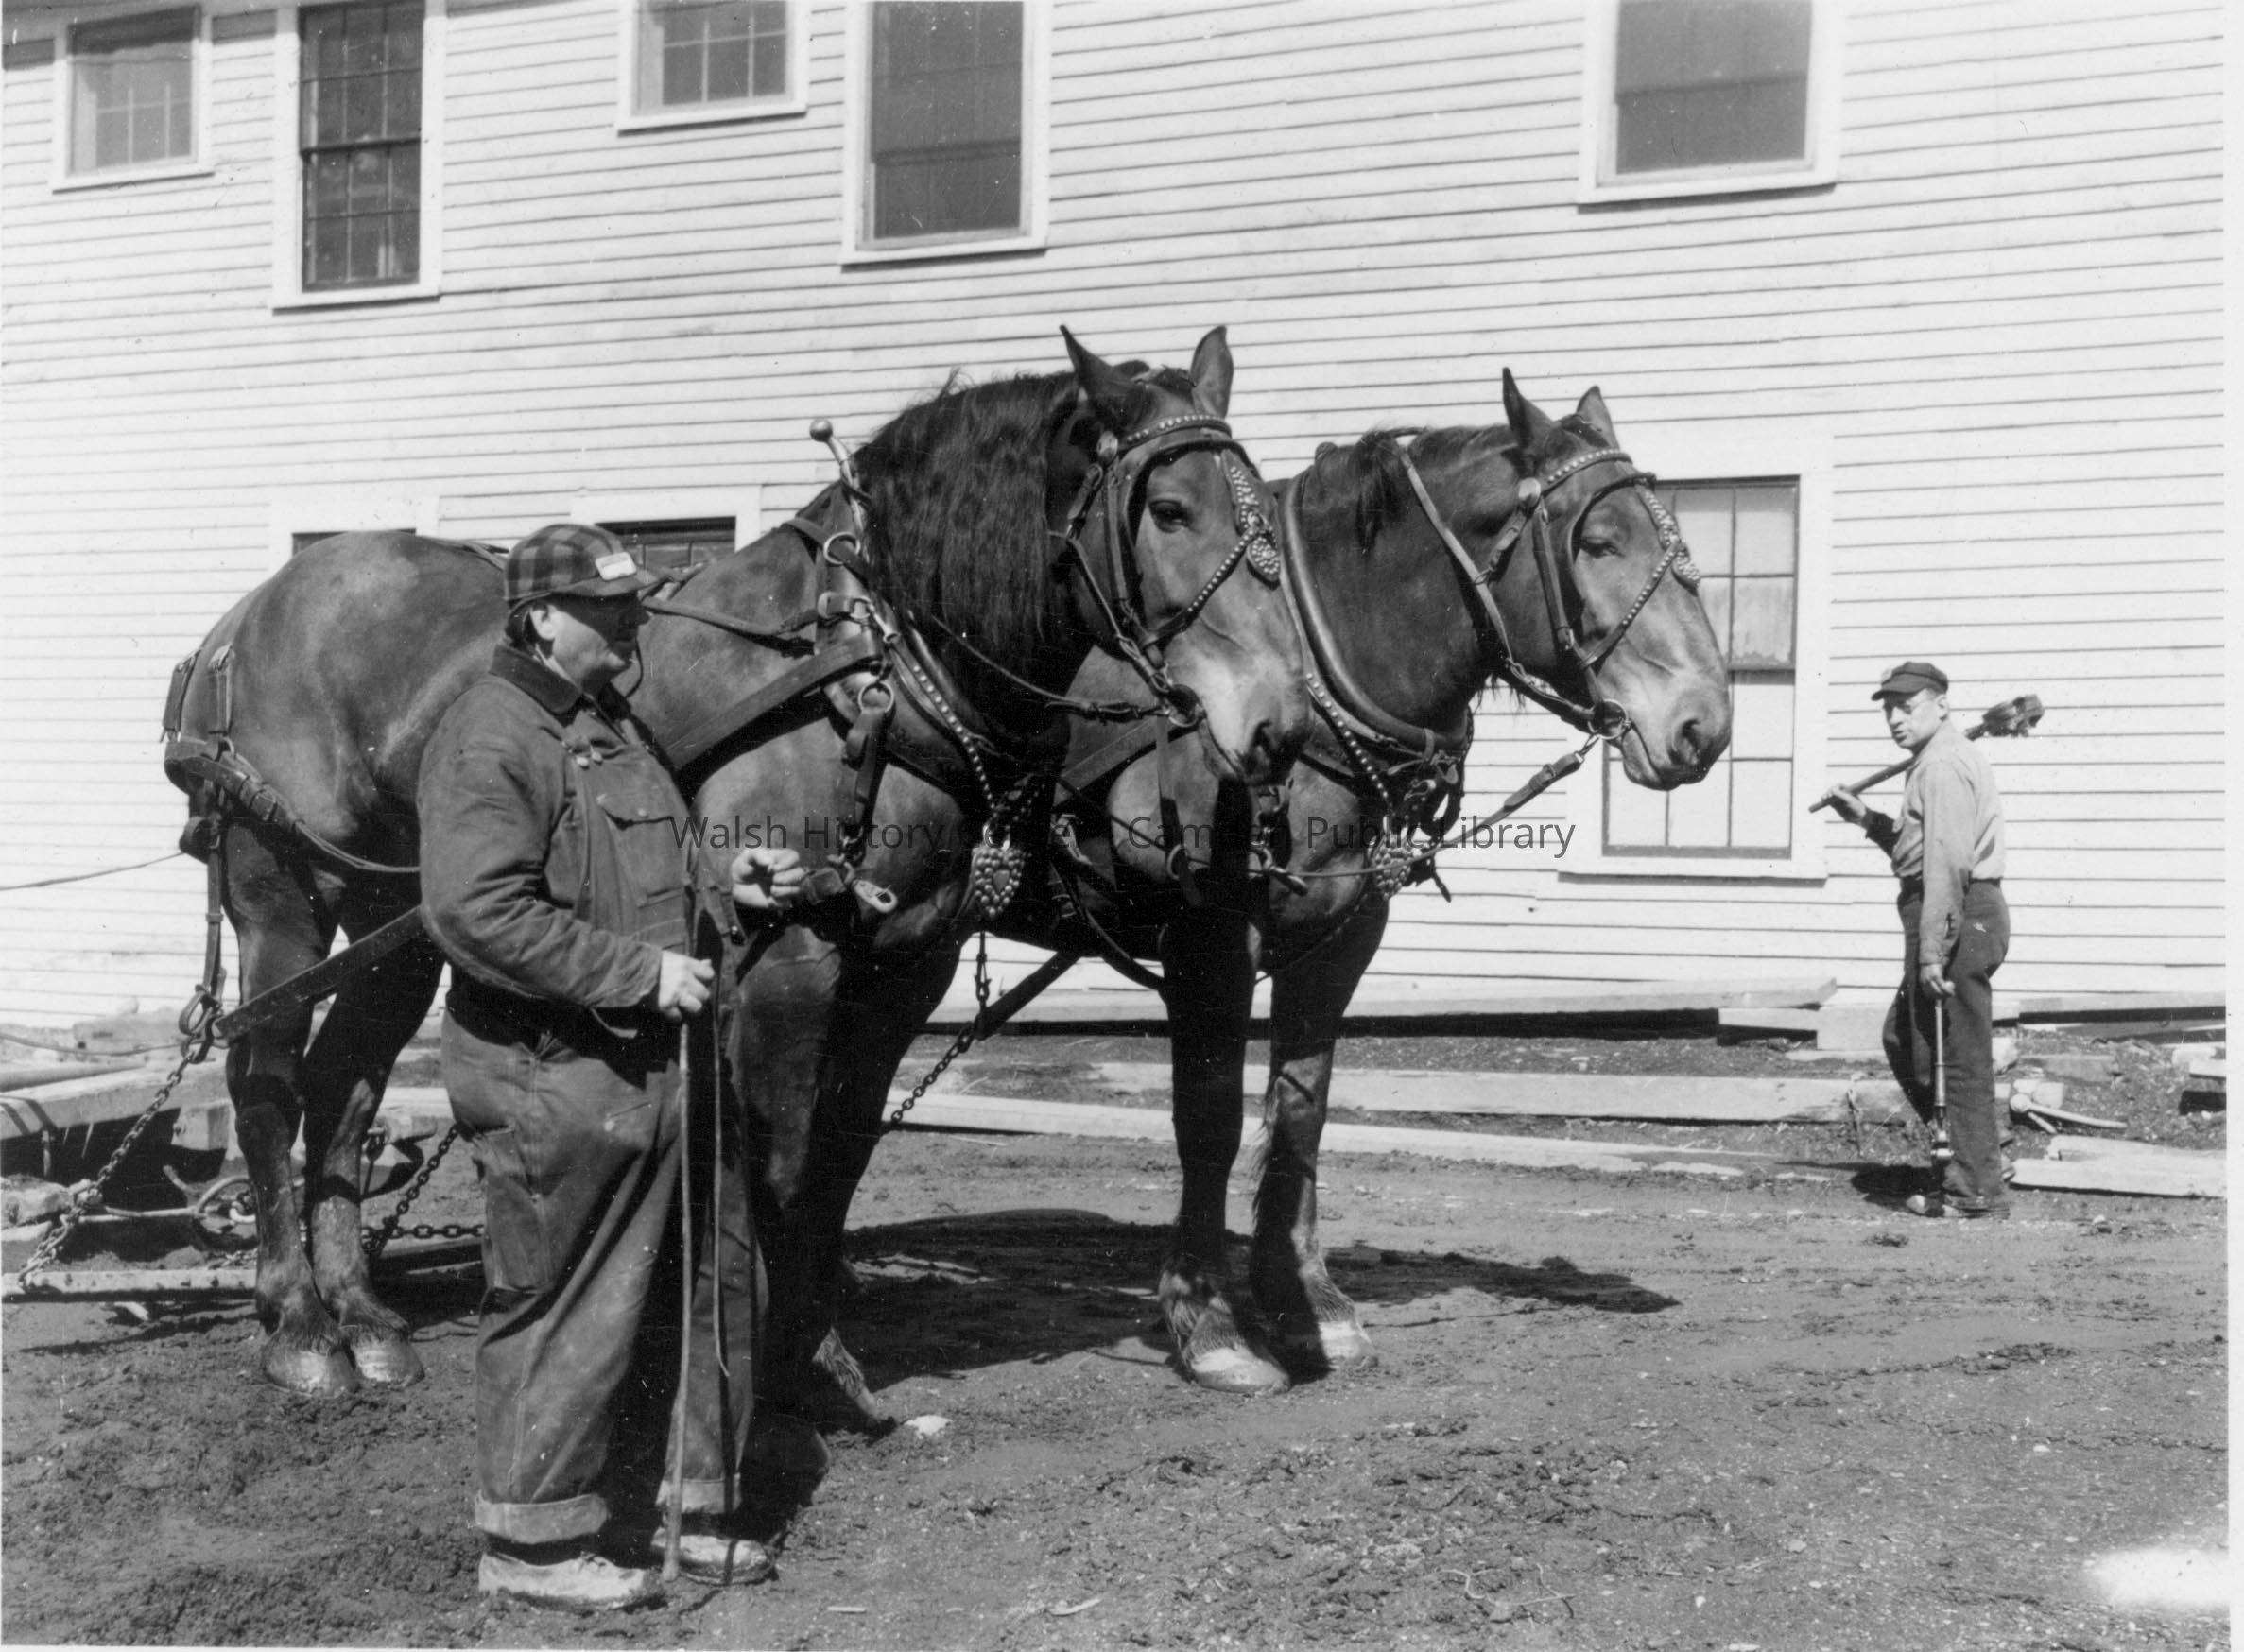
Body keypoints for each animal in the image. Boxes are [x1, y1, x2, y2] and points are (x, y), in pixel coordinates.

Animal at [161, 326, 1310, 1402]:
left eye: (1262, 514)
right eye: (1170, 511)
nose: (1279, 726)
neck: (871, 666)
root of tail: (248, 613)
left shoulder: (904, 964)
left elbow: (841, 1154)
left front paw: (816, 1352)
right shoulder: (786, 959)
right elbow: (783, 1155)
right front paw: (763, 1363)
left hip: (395, 919)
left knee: (345, 1085)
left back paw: (363, 1315)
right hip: (280, 895)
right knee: (265, 1079)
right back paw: (300, 1323)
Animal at [1001, 371, 1733, 1394]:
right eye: (1596, 541)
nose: (1703, 724)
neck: (1310, 691)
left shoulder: (1342, 933)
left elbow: (1301, 1112)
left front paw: (1306, 1305)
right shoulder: (1209, 942)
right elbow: (1208, 1119)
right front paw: (1208, 1323)